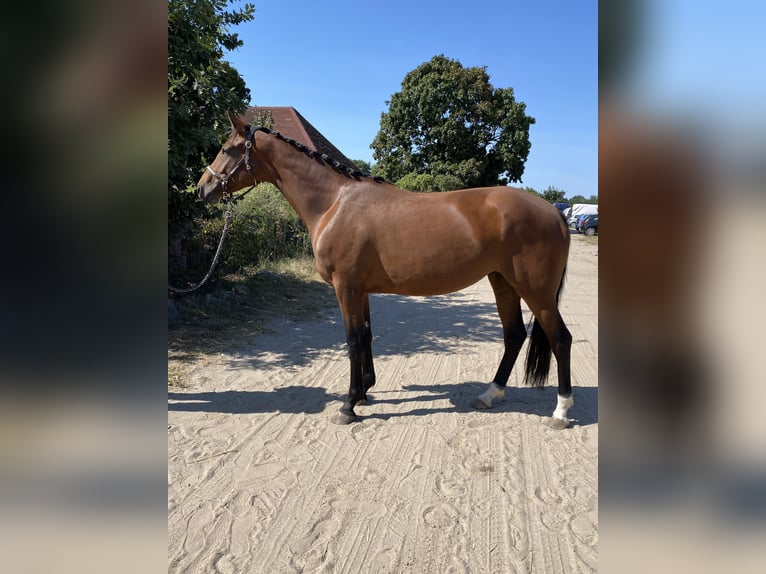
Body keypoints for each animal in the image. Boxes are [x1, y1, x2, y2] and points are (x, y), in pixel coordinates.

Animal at [198, 111, 576, 428]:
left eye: (227, 149)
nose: (203, 188)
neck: (334, 202)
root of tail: (554, 212)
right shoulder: (360, 290)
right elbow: (366, 336)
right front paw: (365, 391)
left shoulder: (346, 288)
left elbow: (352, 340)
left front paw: (349, 405)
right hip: (503, 283)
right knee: (514, 336)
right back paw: (489, 395)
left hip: (536, 291)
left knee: (560, 339)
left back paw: (560, 411)